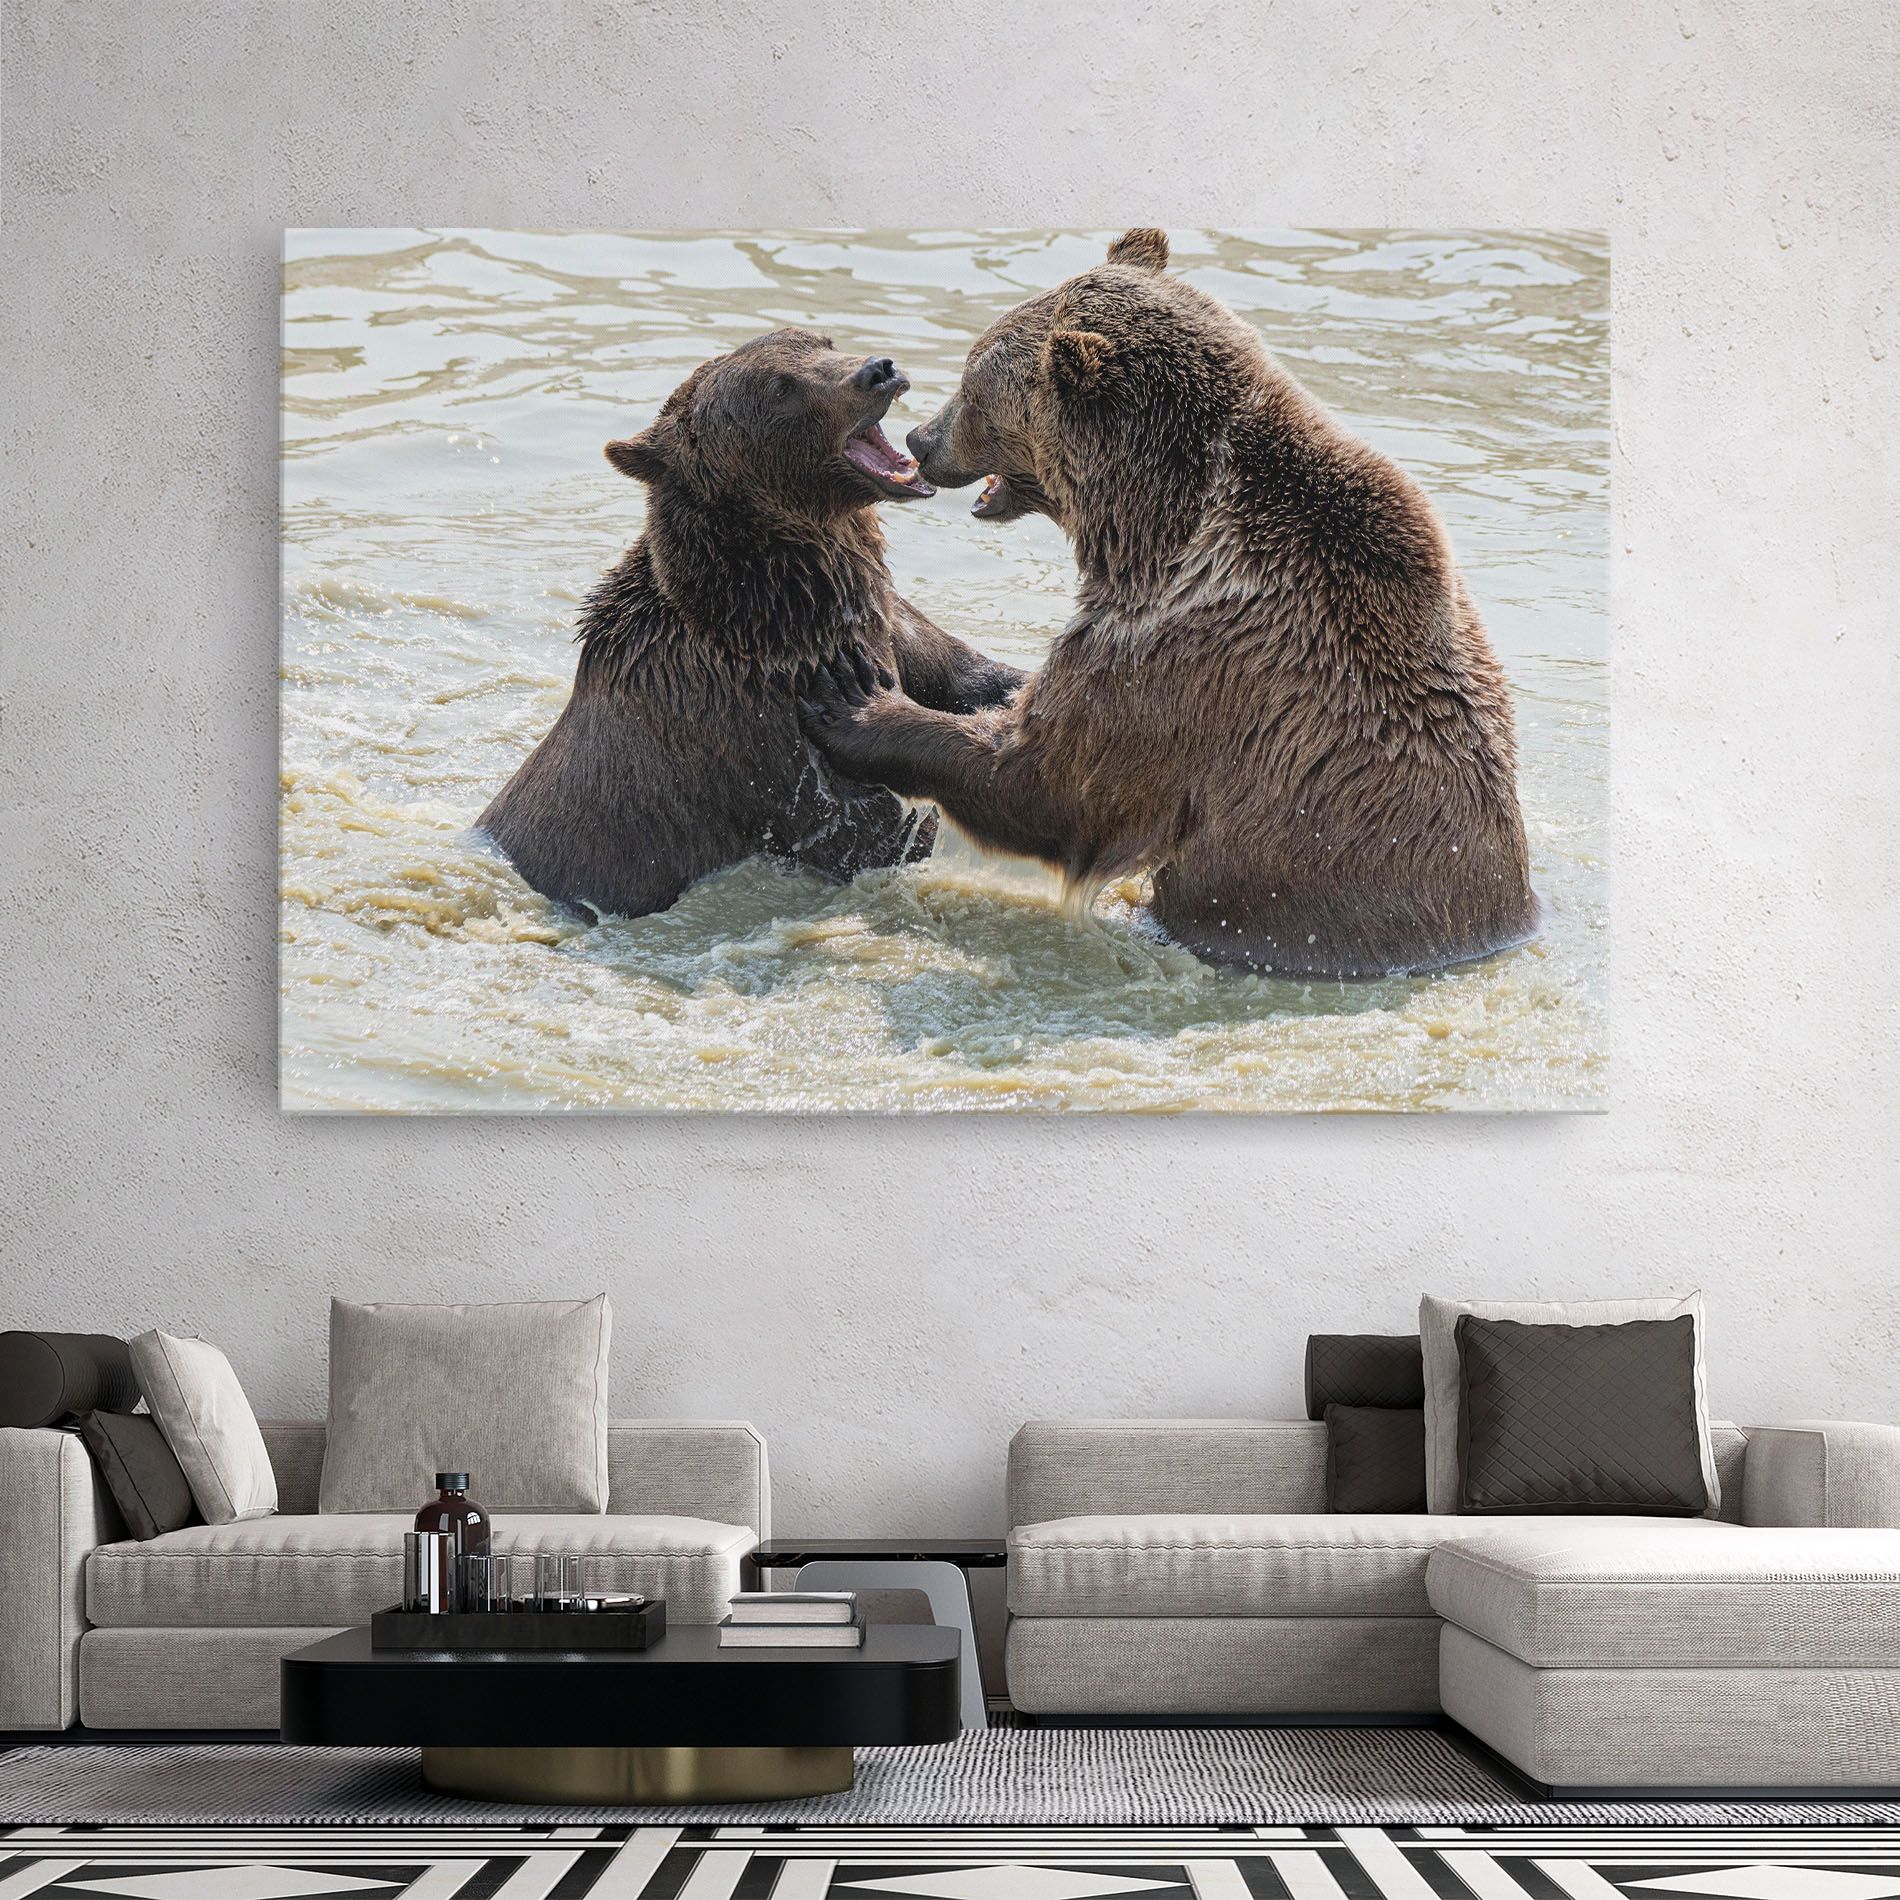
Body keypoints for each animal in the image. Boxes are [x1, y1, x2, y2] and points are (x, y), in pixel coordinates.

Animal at [477, 328, 1025, 921]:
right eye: (780, 388)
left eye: (821, 341)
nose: (878, 370)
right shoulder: (757, 730)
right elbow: (866, 828)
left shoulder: (887, 621)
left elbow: (968, 674)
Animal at [798, 230, 1539, 980]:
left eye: (974, 386)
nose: (922, 439)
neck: (1153, 527)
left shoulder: (1180, 655)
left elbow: (1050, 780)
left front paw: (857, 703)